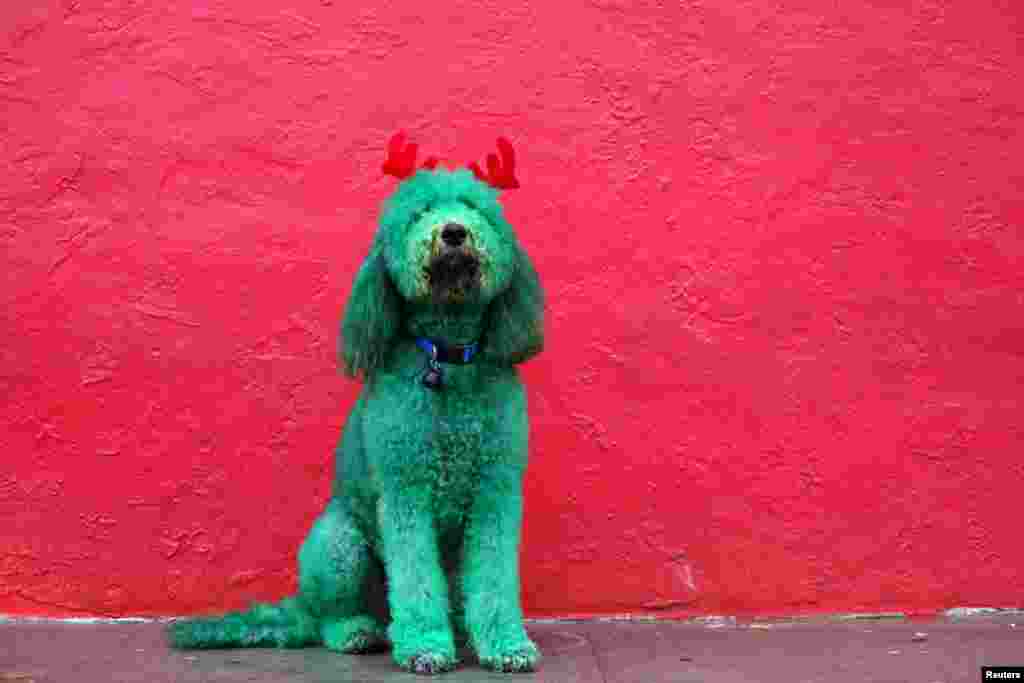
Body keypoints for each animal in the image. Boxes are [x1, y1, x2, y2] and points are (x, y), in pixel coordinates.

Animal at [169, 131, 544, 675]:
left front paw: (507, 645)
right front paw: (425, 646)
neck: (448, 357)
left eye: (475, 208)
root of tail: (299, 606)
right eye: (418, 212)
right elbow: (415, 577)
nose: (453, 232)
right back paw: (359, 632)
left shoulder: (495, 491)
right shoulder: (405, 491)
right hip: (338, 543)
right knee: (332, 618)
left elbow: (492, 578)